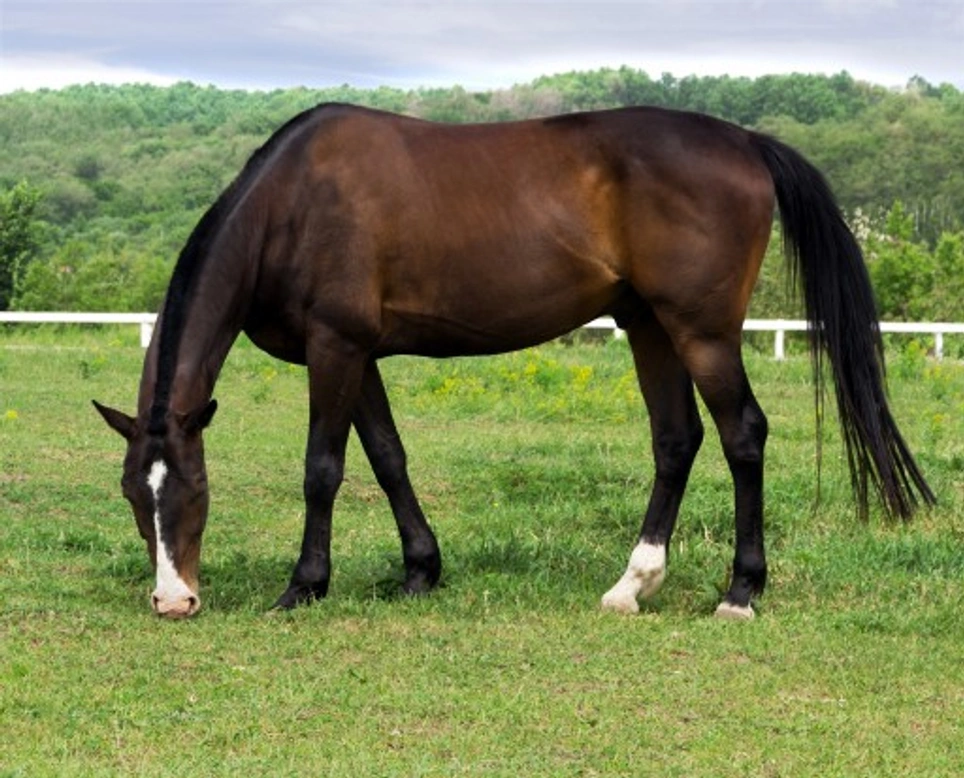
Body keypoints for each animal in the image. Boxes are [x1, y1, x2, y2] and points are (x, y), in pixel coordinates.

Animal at [94, 103, 934, 620]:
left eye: (198, 490)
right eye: (135, 494)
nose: (174, 600)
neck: (293, 203)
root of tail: (747, 141)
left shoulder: (335, 347)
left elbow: (323, 470)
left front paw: (305, 585)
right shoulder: (355, 353)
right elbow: (389, 457)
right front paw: (420, 570)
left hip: (703, 332)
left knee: (743, 437)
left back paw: (740, 591)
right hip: (649, 325)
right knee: (676, 441)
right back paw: (632, 585)